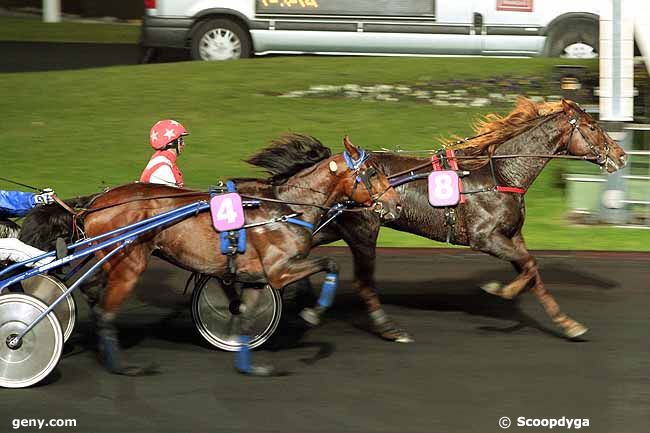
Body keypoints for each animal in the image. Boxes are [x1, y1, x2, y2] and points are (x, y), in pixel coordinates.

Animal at [312, 98, 624, 340]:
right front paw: (501, 290)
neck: (501, 176)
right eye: (593, 126)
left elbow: (532, 272)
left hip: (335, 227)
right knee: (363, 282)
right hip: (363, 231)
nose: (621, 155)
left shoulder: (512, 236)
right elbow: (529, 266)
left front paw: (568, 324)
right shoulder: (485, 237)